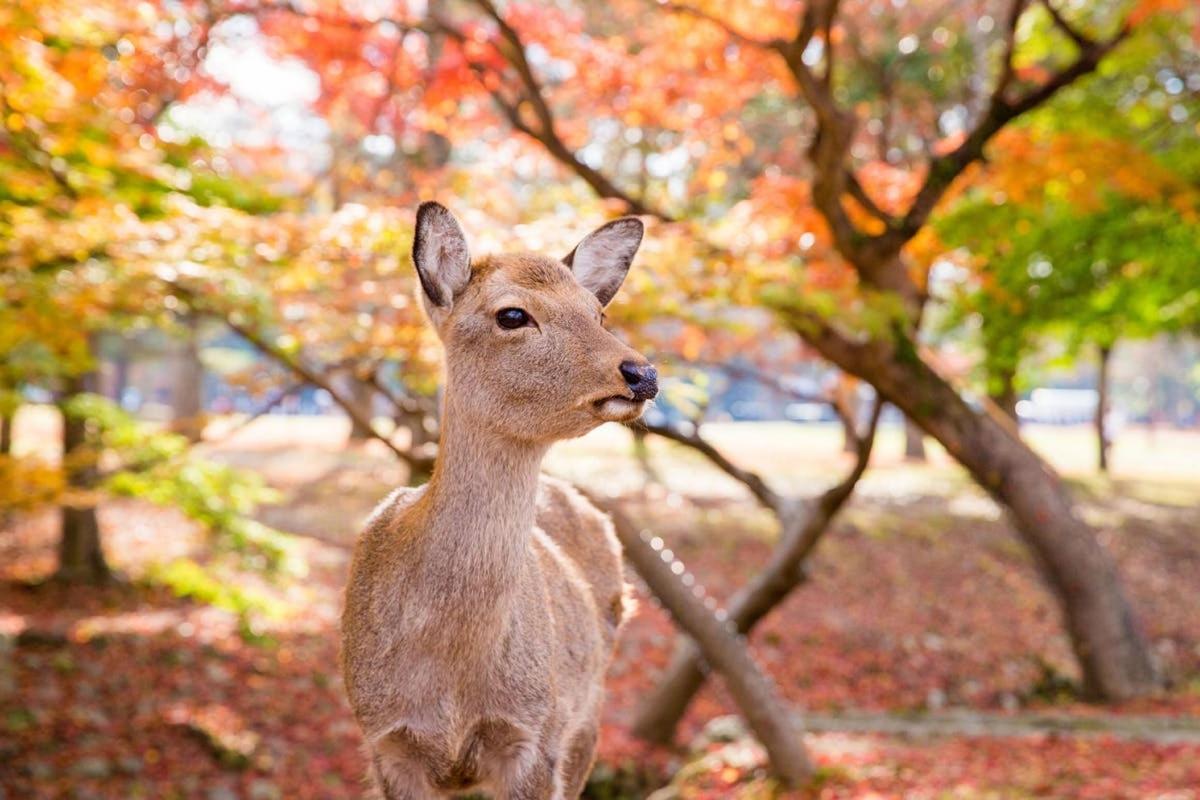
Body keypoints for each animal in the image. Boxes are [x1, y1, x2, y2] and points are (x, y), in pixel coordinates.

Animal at [338, 203, 662, 796]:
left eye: (598, 315)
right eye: (512, 315)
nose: (642, 373)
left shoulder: (534, 736)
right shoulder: (385, 741)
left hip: (588, 716)